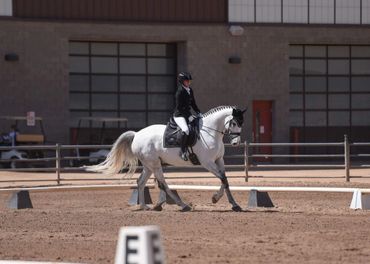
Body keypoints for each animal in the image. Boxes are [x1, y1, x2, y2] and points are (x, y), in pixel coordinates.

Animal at [86, 106, 246, 211]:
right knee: (163, 183)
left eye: (241, 123)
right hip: (155, 164)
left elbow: (225, 180)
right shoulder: (207, 162)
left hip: (149, 165)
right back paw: (181, 205)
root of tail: (137, 134)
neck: (210, 132)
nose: (236, 143)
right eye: (233, 123)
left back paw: (146, 206)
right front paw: (217, 199)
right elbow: (222, 178)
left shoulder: (219, 160)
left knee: (141, 182)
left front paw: (233, 204)